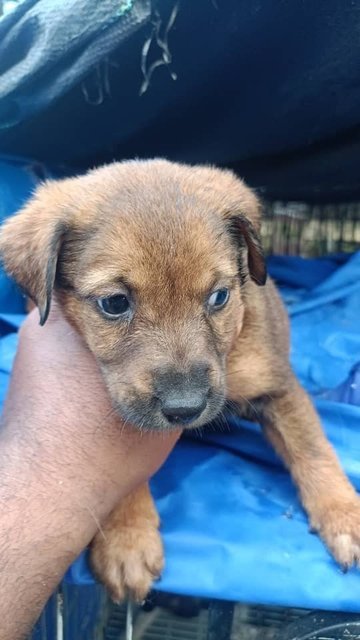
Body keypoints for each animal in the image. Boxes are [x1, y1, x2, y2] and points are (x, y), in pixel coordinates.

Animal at [0, 158, 360, 604]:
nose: (186, 409)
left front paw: (345, 516)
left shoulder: (276, 385)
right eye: (114, 303)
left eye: (220, 297)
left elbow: (312, 450)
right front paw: (127, 539)